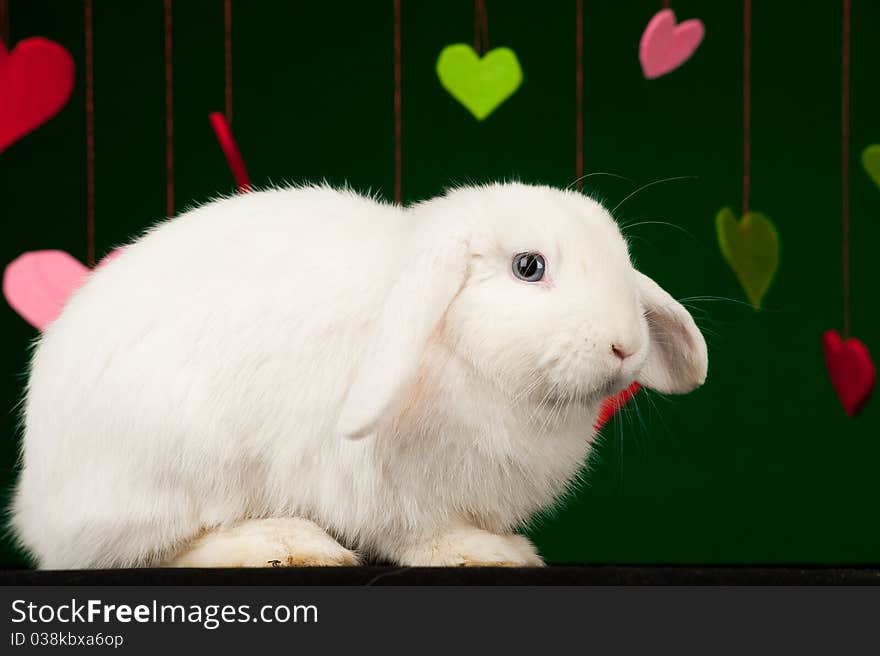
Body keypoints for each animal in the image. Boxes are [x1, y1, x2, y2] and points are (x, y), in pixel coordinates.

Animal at [8, 182, 708, 568]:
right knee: (158, 548)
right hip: (174, 466)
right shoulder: (382, 486)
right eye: (529, 266)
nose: (625, 346)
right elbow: (417, 534)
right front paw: (488, 552)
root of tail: (37, 506)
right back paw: (284, 544)